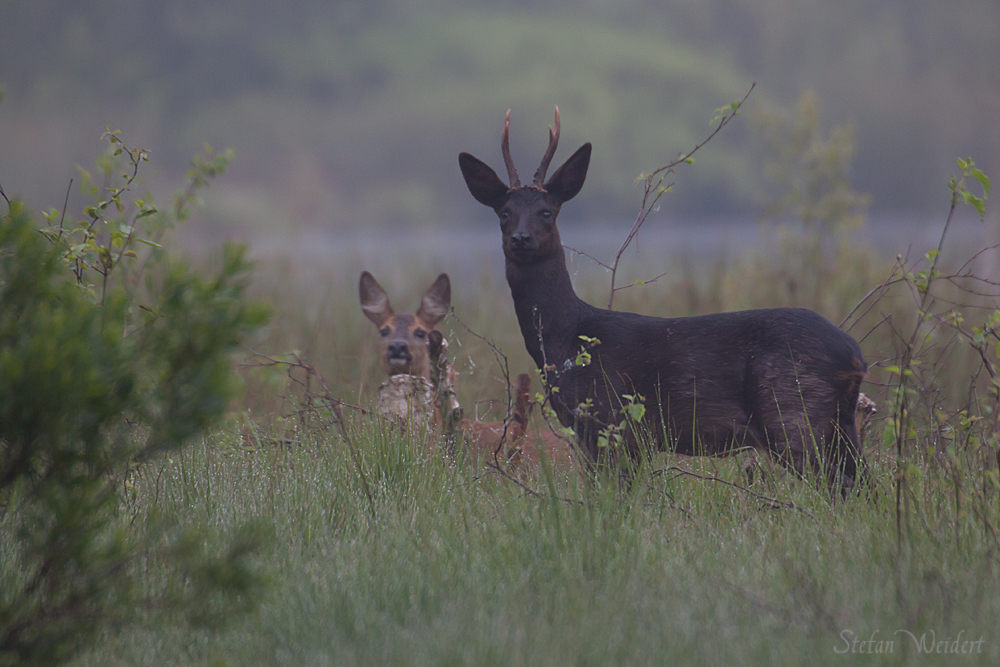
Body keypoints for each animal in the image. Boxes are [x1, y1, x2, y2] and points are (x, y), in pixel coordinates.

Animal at [460, 109, 868, 494]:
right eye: (504, 213)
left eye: (547, 212)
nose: (521, 238)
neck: (568, 340)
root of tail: (854, 355)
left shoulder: (613, 421)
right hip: (838, 424)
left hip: (794, 414)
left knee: (841, 485)